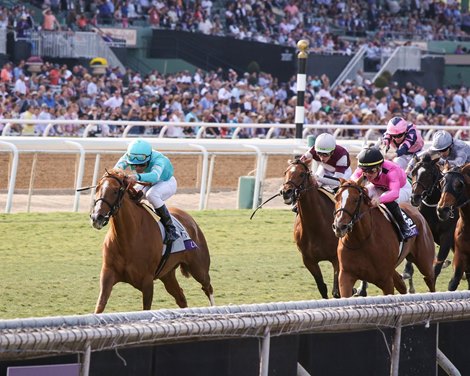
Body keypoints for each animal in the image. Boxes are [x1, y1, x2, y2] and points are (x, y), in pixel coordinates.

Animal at [89, 169, 214, 312]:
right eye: (97, 188)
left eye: (115, 190)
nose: (96, 217)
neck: (128, 239)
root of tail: (189, 218)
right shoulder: (108, 275)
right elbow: (100, 306)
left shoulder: (147, 282)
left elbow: (146, 308)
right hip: (167, 274)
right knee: (181, 297)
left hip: (199, 268)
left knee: (207, 287)